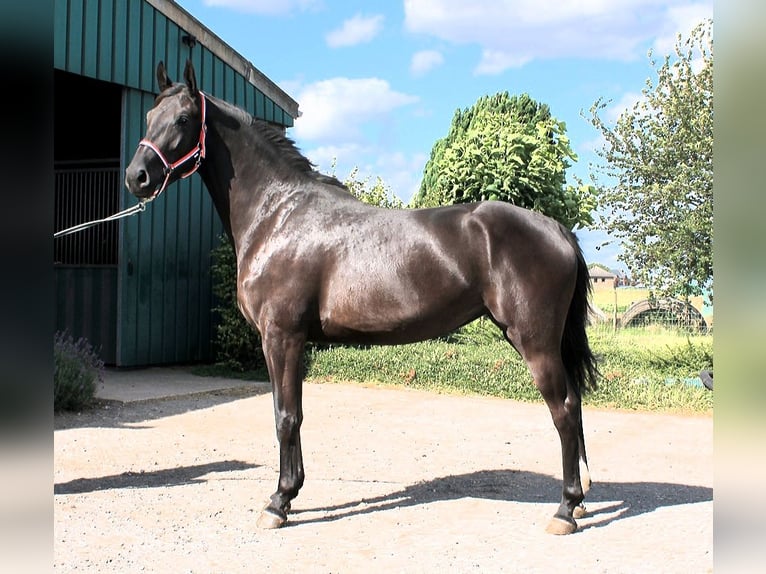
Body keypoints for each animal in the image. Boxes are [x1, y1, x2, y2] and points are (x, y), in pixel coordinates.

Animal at [126, 60, 600, 536]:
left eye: (184, 119)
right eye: (149, 116)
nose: (137, 177)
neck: (278, 214)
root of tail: (556, 229)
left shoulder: (281, 337)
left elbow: (285, 417)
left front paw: (279, 502)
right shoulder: (290, 341)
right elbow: (292, 413)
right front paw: (291, 492)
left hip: (535, 342)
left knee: (563, 410)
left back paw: (564, 509)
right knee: (575, 407)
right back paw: (578, 501)